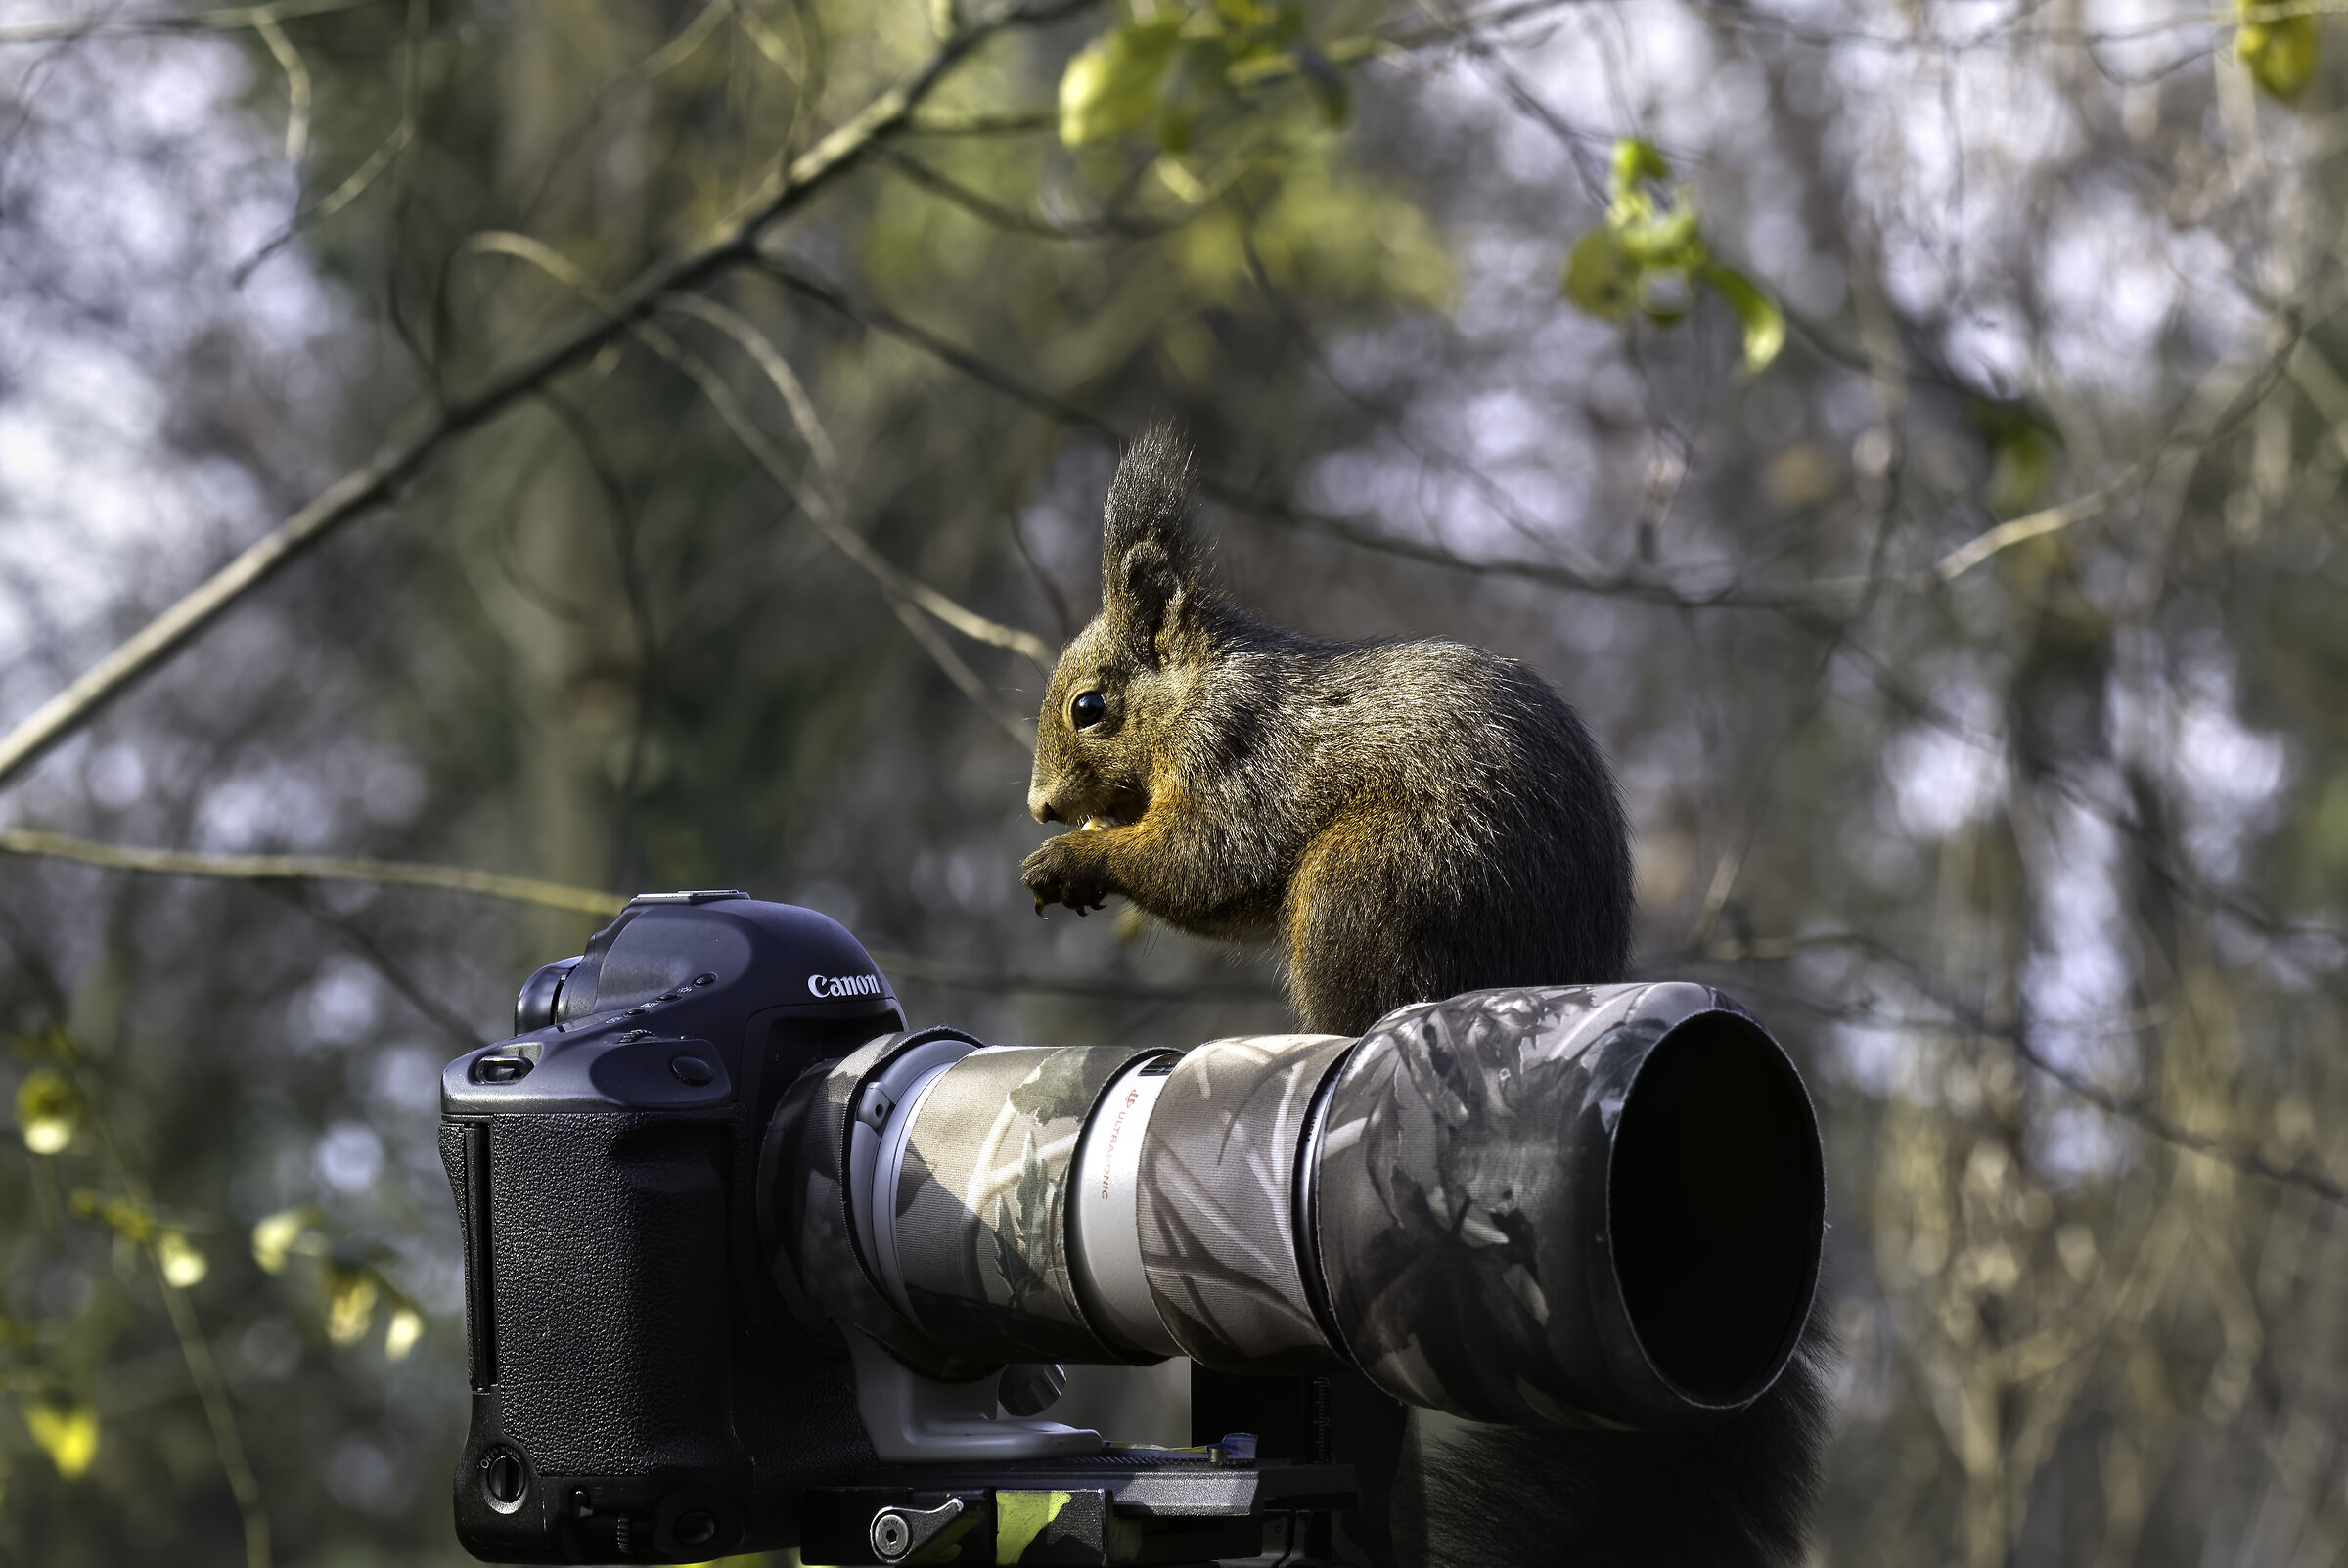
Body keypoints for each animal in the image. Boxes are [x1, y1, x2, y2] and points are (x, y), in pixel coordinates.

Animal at [1021, 423, 1833, 1568]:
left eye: (1090, 707)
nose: (1042, 802)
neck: (1199, 694)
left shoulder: (1238, 761)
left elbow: (1203, 858)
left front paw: (1078, 858)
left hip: (1364, 886)